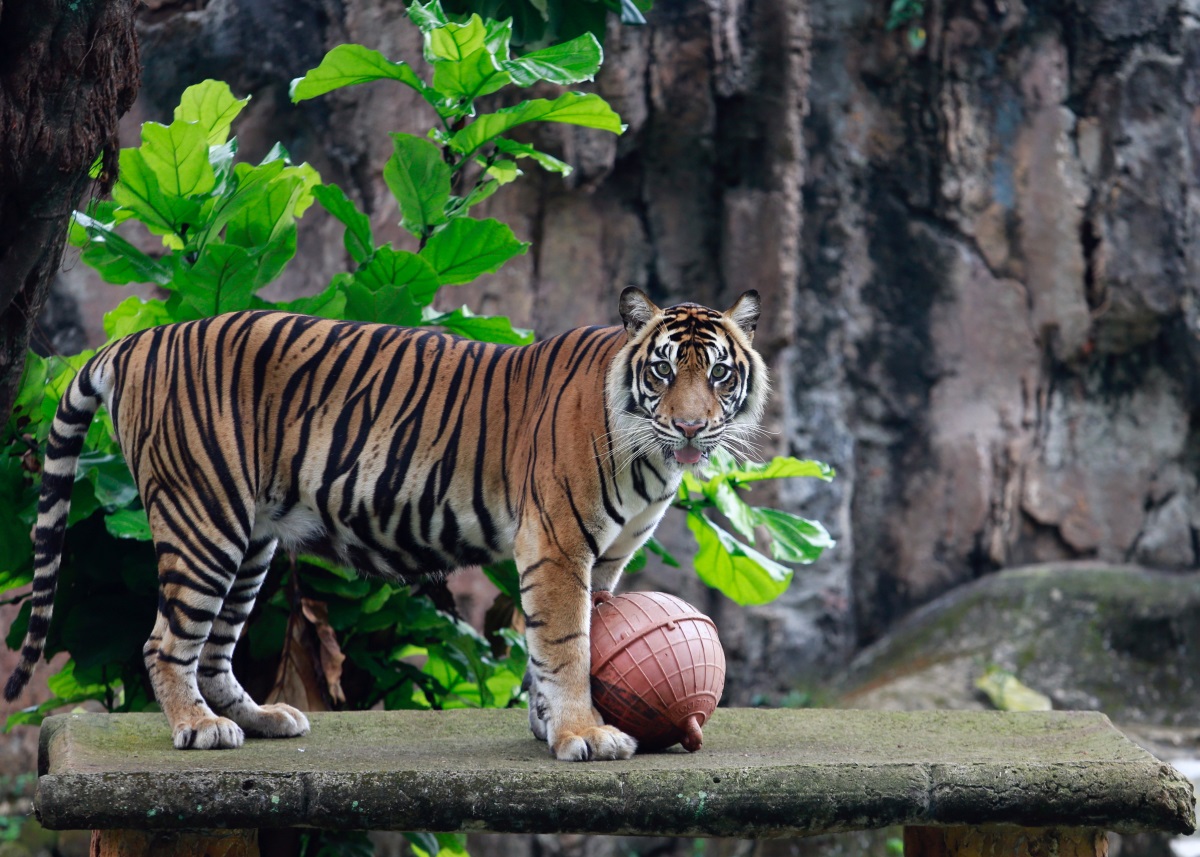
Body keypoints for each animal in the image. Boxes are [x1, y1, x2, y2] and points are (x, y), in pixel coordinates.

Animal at [4, 289, 763, 763]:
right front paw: (583, 734)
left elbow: (561, 646)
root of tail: (141, 338)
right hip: (203, 519)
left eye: (719, 376)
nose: (690, 426)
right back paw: (198, 728)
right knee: (166, 641)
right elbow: (566, 645)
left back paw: (259, 719)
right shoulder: (557, 546)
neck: (649, 457)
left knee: (215, 647)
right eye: (663, 370)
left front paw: (551, 725)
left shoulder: (604, 561)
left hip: (250, 540)